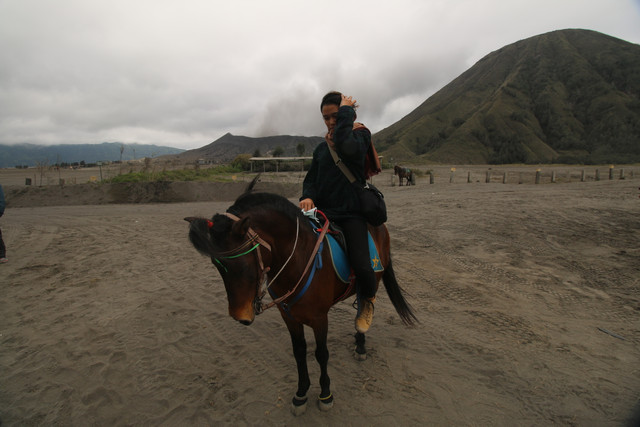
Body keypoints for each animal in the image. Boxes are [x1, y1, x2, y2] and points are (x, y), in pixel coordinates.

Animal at [185, 177, 416, 414]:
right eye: (216, 264)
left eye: (242, 264)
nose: (240, 316)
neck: (297, 259)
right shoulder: (289, 316)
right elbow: (299, 352)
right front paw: (301, 393)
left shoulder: (319, 318)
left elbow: (321, 354)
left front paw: (325, 394)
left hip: (373, 277)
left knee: (365, 303)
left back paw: (361, 341)